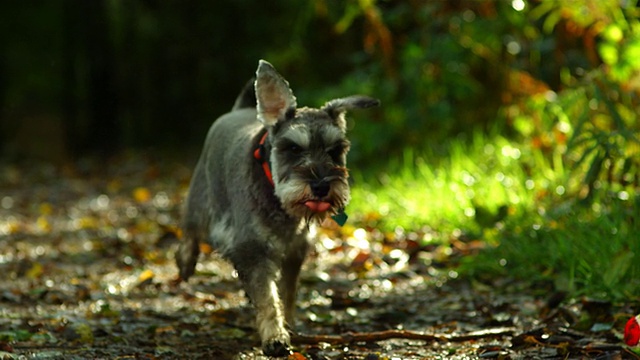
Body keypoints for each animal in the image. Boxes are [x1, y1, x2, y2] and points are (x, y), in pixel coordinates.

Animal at [176, 60, 380, 356]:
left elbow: (286, 293)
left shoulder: (295, 251)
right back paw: (185, 263)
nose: (321, 186)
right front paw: (275, 337)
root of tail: (238, 110)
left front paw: (288, 325)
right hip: (200, 200)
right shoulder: (252, 249)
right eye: (293, 148)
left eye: (335, 150)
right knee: (190, 232)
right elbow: (267, 297)